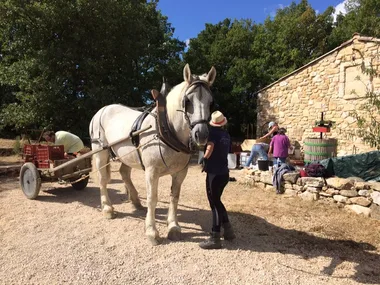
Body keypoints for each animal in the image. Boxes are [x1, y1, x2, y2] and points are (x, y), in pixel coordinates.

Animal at [87, 64, 215, 244]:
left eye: (211, 103)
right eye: (187, 101)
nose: (201, 135)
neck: (166, 129)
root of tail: (103, 109)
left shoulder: (180, 172)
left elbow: (174, 197)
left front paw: (173, 226)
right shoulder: (151, 172)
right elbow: (152, 199)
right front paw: (152, 231)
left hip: (127, 155)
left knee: (124, 173)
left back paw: (135, 201)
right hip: (100, 152)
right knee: (103, 180)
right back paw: (107, 208)